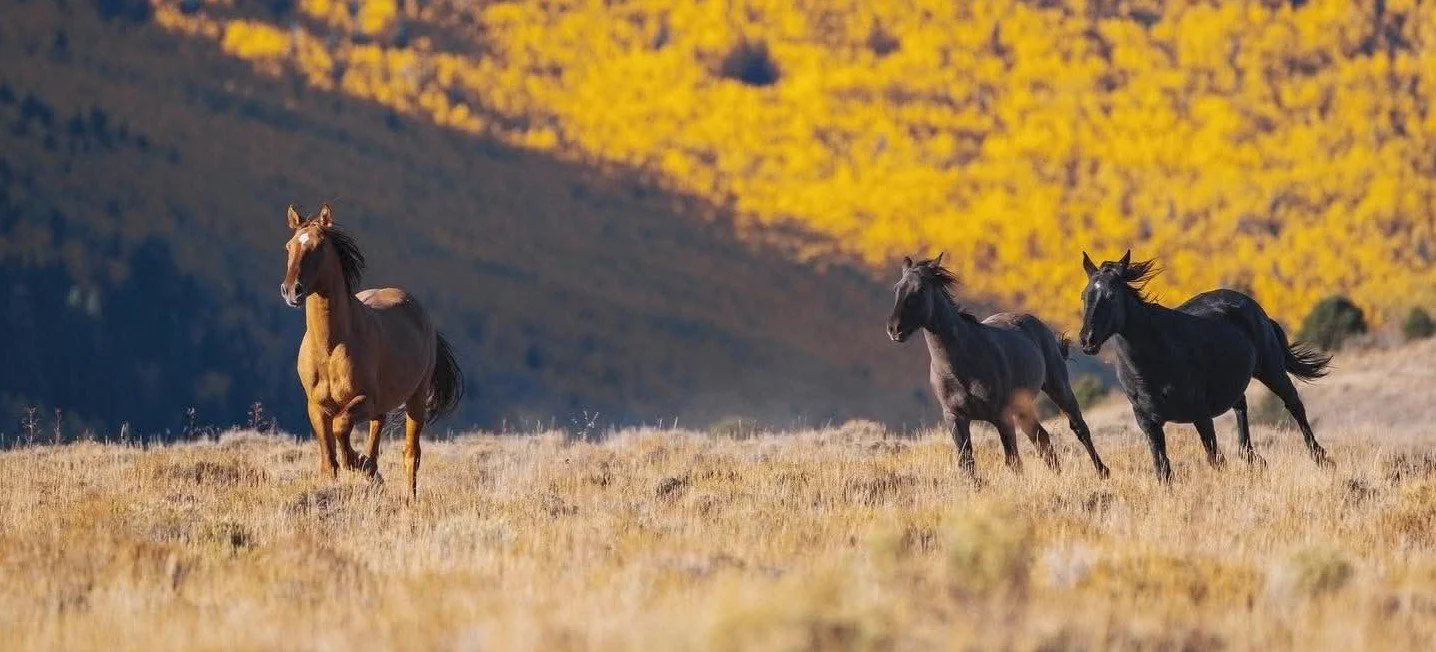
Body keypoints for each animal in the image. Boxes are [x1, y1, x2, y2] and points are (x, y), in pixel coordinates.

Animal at [279, 203, 463, 498]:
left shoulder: (364, 400)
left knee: (411, 453)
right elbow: (328, 461)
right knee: (377, 438)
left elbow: (341, 427)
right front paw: (355, 469)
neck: (330, 349)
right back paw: (372, 470)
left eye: (318, 247)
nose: (291, 291)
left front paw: (355, 462)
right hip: (383, 406)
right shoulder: (316, 408)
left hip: (415, 398)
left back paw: (407, 497)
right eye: (289, 246)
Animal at [887, 254, 1109, 480]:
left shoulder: (1002, 416)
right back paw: (1058, 476)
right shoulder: (955, 418)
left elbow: (1013, 461)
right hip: (1022, 407)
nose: (895, 329)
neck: (961, 365)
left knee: (1079, 428)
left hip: (1058, 388)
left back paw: (1102, 472)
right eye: (897, 288)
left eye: (920, 290)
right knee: (1041, 437)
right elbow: (967, 463)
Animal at [1077, 250, 1332, 482]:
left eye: (1111, 296)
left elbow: (1215, 459)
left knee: (1294, 404)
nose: (1087, 340)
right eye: (1084, 296)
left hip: (1271, 369)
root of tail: (1252, 306)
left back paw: (1322, 458)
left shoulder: (1200, 414)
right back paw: (1251, 458)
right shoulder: (1149, 424)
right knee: (1241, 406)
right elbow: (1163, 470)